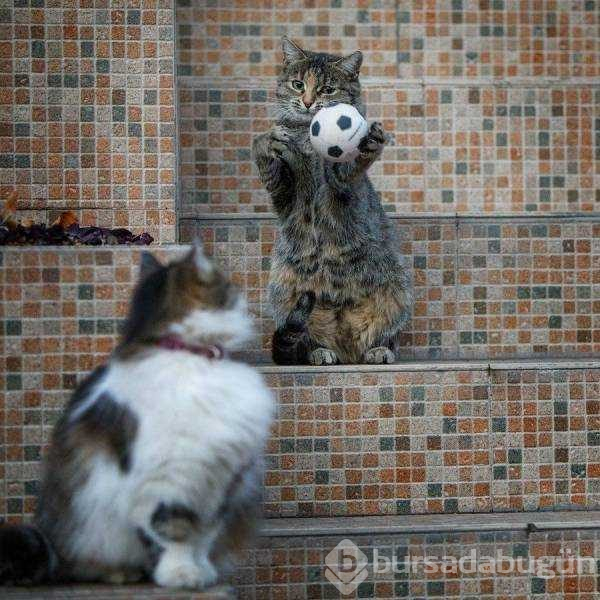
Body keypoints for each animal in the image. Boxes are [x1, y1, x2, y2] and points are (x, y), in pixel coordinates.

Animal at [253, 38, 412, 366]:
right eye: (298, 84)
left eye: (327, 89)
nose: (308, 102)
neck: (307, 139)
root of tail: (344, 343)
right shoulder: (284, 198)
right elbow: (268, 156)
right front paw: (269, 142)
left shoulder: (342, 189)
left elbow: (349, 167)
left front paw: (368, 145)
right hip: (284, 293)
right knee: (303, 339)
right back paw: (320, 351)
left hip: (398, 291)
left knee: (385, 335)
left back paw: (378, 351)